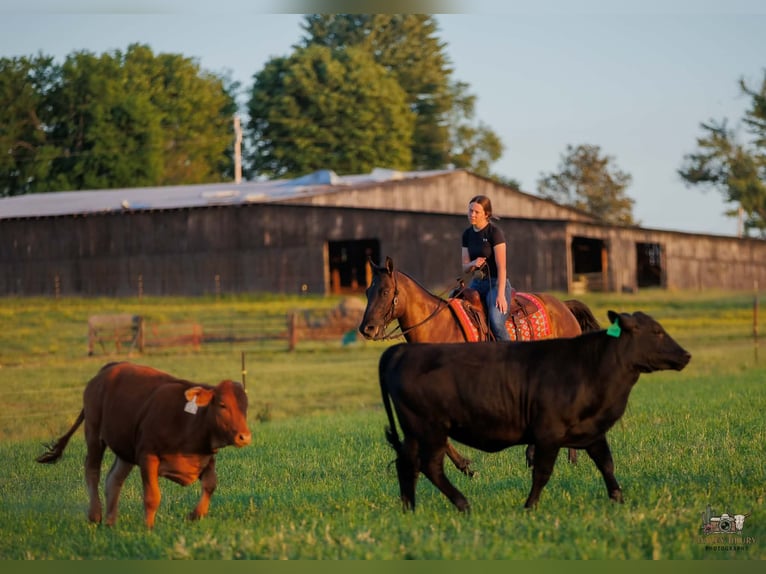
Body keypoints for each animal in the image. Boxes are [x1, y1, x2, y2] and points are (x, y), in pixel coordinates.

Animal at [359, 256, 601, 476]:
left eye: (385, 292)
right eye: (368, 291)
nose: (366, 329)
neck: (438, 328)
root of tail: (564, 307)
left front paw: (466, 466)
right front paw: (465, 467)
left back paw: (569, 459)